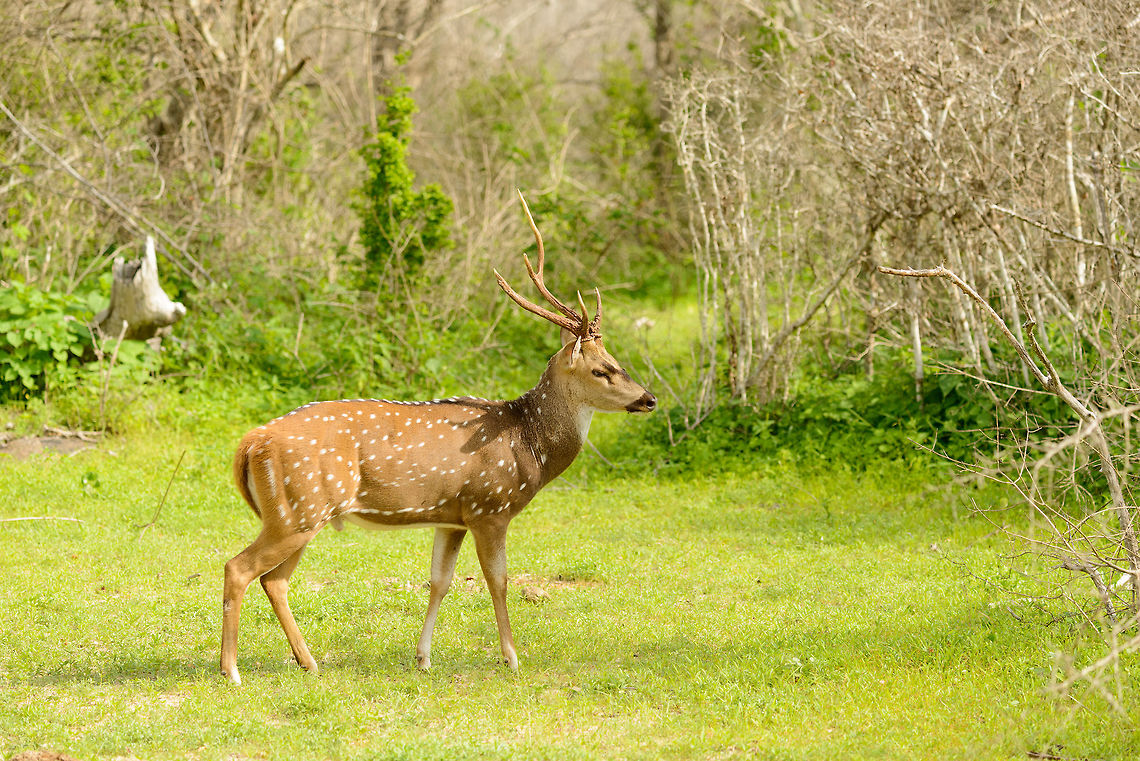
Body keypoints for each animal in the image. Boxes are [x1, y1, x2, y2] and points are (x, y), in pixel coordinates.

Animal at [220, 191, 657, 684]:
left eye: (617, 360)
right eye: (602, 369)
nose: (648, 399)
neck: (528, 445)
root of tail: (251, 442)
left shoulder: (452, 516)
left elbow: (440, 581)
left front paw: (423, 657)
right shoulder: (490, 507)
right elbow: (498, 580)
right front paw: (512, 657)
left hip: (301, 514)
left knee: (274, 578)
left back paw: (309, 661)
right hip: (299, 509)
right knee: (239, 568)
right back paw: (232, 670)